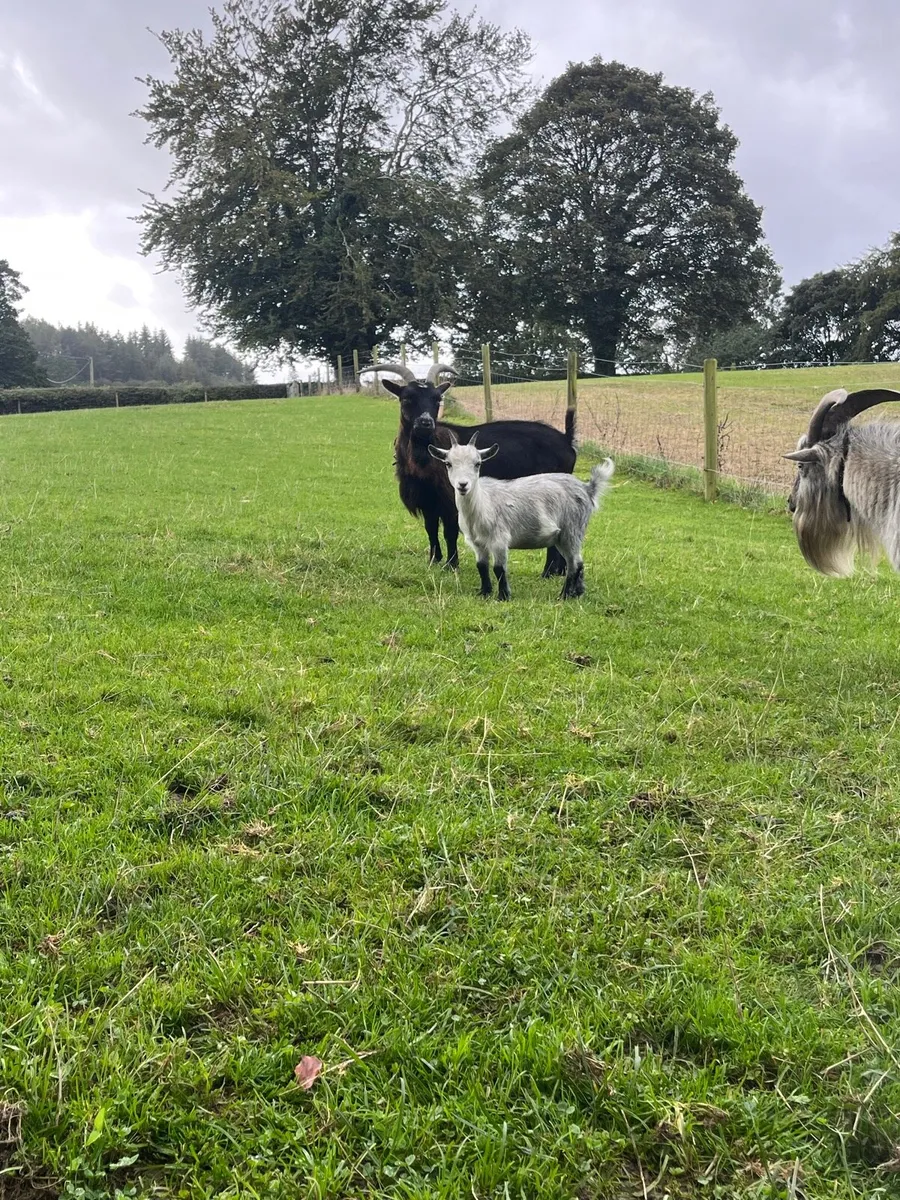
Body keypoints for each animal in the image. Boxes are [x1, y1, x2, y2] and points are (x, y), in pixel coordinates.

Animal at [361, 361, 576, 576]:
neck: (424, 456)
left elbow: (449, 532)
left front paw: (451, 564)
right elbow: (431, 530)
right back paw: (559, 571)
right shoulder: (428, 500)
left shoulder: (450, 499)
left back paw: (549, 572)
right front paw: (433, 560)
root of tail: (567, 440)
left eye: (437, 399)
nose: (425, 423)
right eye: (407, 398)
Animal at [428, 433, 614, 600]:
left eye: (478, 464)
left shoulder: (499, 540)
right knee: (579, 562)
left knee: (573, 564)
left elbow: (498, 568)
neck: (483, 503)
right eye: (448, 464)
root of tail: (587, 488)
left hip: (572, 530)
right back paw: (577, 593)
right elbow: (481, 566)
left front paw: (503, 596)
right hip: (563, 536)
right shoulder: (477, 543)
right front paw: (484, 593)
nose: (463, 485)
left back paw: (564, 596)